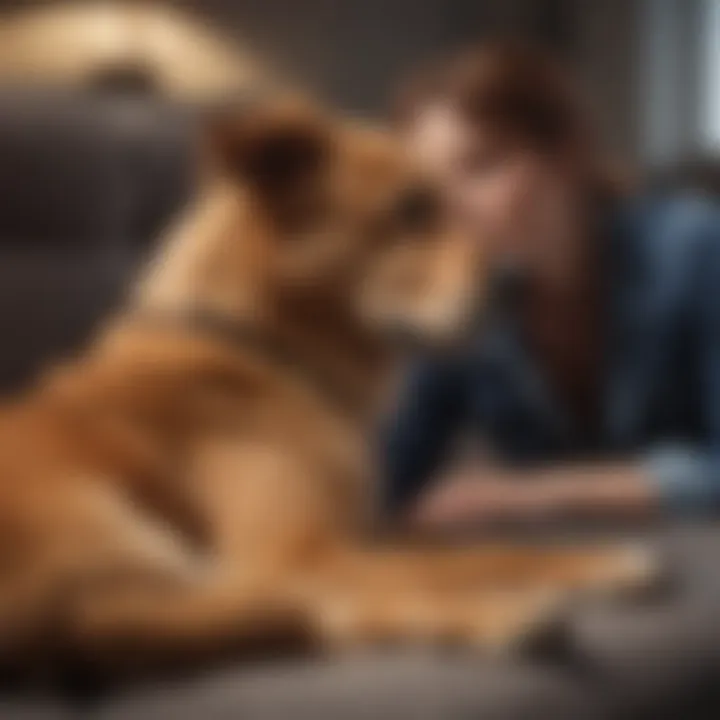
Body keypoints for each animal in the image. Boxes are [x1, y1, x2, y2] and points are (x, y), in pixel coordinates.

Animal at [0, 97, 660, 680]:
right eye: (411, 210)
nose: (520, 281)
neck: (268, 351)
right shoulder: (296, 552)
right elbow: (435, 569)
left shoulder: (360, 532)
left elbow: (474, 552)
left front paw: (594, 560)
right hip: (115, 529)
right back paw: (505, 618)